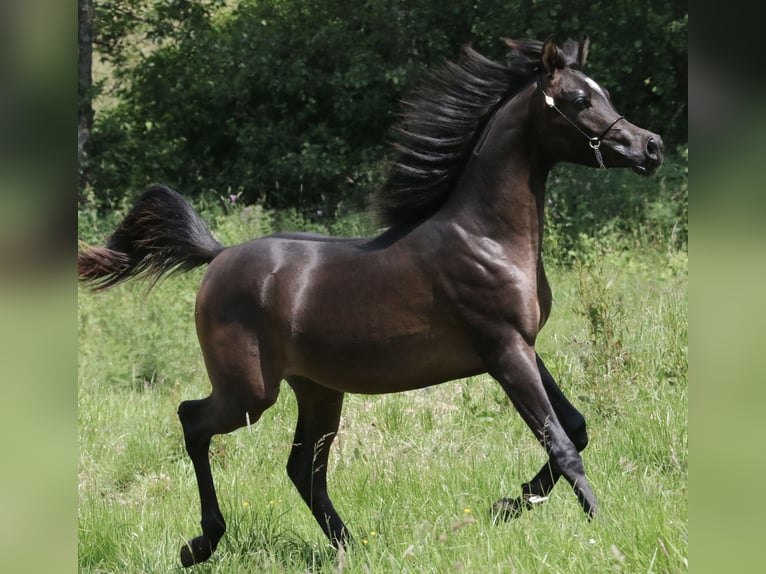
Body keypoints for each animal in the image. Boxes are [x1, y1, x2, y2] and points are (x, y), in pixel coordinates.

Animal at [78, 37, 663, 567]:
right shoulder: (503, 351)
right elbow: (561, 443)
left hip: (317, 390)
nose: (650, 146)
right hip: (250, 393)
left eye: (605, 92)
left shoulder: (524, 347)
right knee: (193, 422)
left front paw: (508, 503)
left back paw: (351, 549)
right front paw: (602, 529)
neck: (487, 237)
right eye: (579, 100)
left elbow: (575, 429)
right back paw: (201, 543)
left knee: (302, 469)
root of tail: (218, 256)